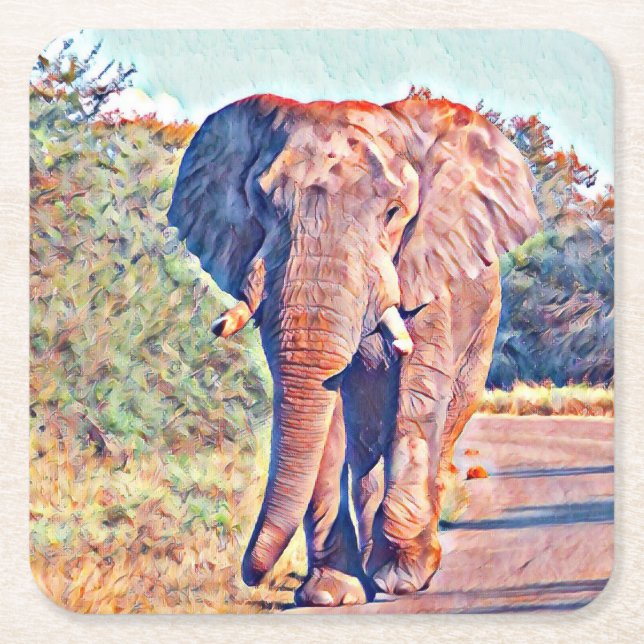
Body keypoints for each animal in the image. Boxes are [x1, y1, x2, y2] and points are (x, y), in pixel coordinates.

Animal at [167, 93, 540, 607]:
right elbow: (327, 418)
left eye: (394, 213)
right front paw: (330, 594)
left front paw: (401, 578)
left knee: (440, 424)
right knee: (364, 449)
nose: (250, 576)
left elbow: (417, 396)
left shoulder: (429, 271)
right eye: (261, 203)